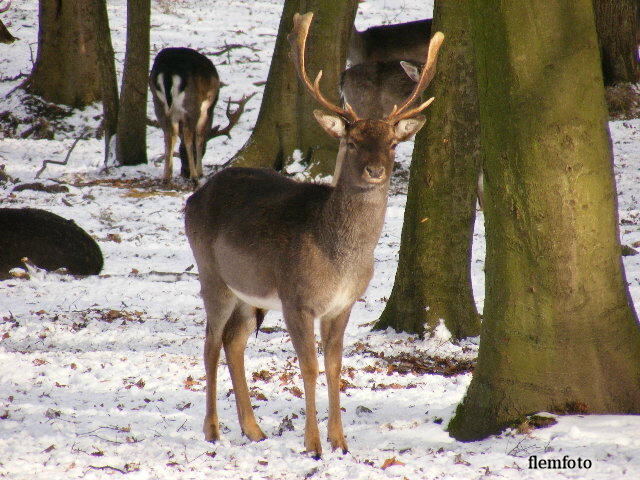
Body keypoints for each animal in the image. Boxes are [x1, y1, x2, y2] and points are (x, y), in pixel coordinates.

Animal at [150, 48, 252, 184]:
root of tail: (169, 70)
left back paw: (166, 177)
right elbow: (199, 137)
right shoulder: (207, 109)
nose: (185, 173)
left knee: (168, 135)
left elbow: (174, 136)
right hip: (192, 105)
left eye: (181, 153)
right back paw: (194, 177)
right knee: (188, 135)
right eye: (204, 150)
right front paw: (200, 171)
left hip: (158, 104)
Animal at [182, 12, 442, 458]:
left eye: (392, 143)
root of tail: (194, 196)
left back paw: (253, 429)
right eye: (352, 141)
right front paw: (313, 444)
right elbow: (308, 365)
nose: (376, 170)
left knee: (234, 341)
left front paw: (341, 442)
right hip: (212, 273)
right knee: (210, 343)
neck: (338, 257)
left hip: (249, 294)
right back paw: (213, 430)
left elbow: (336, 366)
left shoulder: (344, 304)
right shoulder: (296, 298)